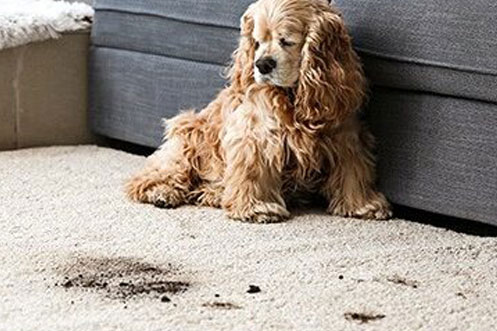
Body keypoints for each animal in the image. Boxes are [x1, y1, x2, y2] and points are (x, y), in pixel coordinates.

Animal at [125, 0, 392, 223]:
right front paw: (257, 209)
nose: (262, 64)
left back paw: (214, 193)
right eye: (257, 41)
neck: (293, 97)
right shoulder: (256, 136)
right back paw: (161, 192)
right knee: (152, 175)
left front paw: (363, 205)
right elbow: (253, 171)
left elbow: (353, 171)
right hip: (187, 138)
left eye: (287, 41)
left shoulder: (346, 136)